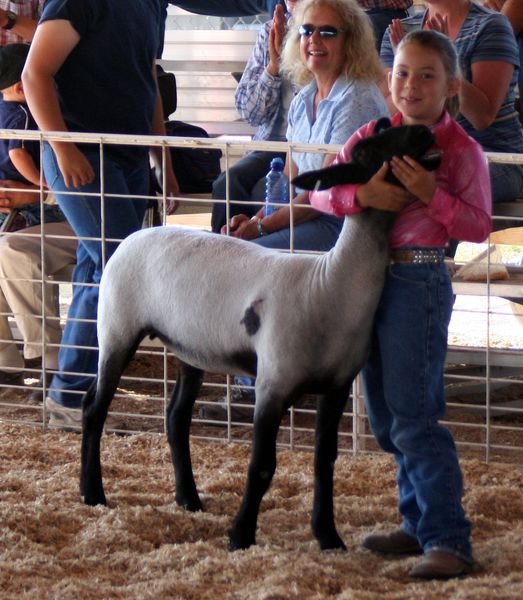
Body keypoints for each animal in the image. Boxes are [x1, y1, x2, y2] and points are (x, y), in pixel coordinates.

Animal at [79, 118, 438, 552]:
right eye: (370, 150)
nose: (424, 131)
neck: (329, 285)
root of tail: (132, 237)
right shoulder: (273, 383)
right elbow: (263, 465)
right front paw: (241, 535)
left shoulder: (336, 387)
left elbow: (325, 460)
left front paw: (328, 535)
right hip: (117, 328)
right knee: (94, 407)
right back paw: (93, 493)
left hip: (190, 349)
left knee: (176, 418)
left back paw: (189, 498)